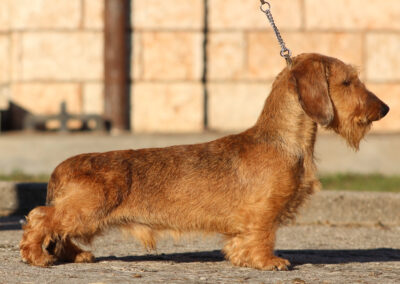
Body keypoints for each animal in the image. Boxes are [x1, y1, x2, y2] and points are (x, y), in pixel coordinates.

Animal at [19, 53, 390, 270]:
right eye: (347, 82)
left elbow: (242, 240)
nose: (385, 108)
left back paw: (74, 255)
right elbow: (264, 234)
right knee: (41, 217)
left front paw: (243, 258)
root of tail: (61, 167)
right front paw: (268, 261)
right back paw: (36, 255)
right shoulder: (263, 212)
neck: (281, 141)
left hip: (84, 214)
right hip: (87, 208)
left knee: (59, 229)